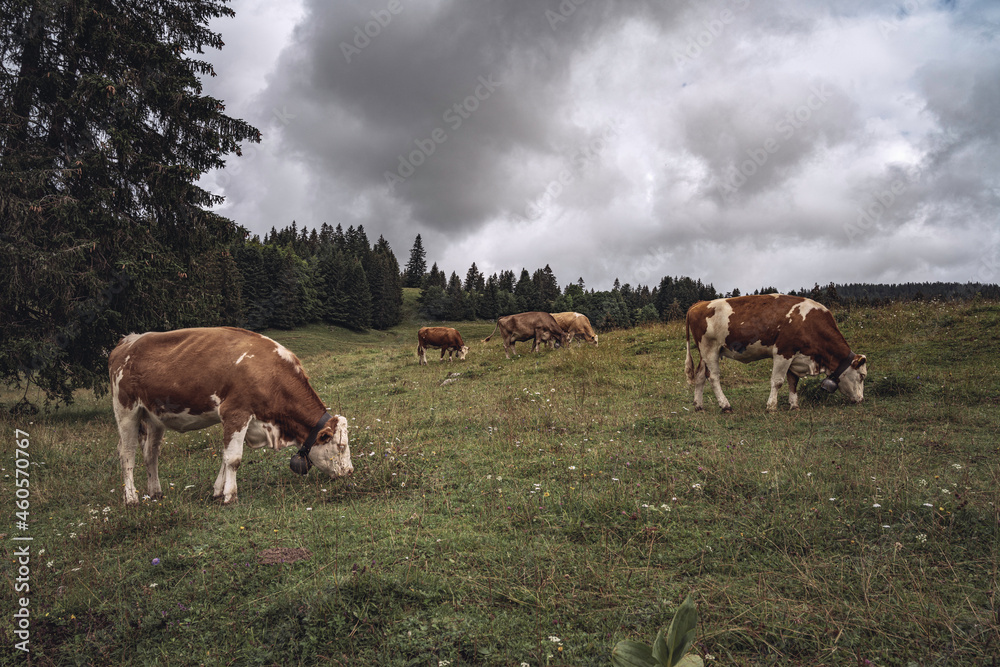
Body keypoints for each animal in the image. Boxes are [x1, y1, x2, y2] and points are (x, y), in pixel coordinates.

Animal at [108, 326, 352, 504]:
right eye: (340, 446)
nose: (349, 471)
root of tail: (128, 340)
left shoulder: (245, 420)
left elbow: (225, 458)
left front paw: (218, 490)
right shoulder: (235, 412)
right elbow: (233, 459)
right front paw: (229, 495)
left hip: (153, 417)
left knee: (151, 453)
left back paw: (156, 492)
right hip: (126, 409)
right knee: (127, 452)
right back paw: (131, 498)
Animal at [688, 296, 868, 412]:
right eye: (862, 376)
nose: (861, 399)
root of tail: (700, 304)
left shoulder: (795, 356)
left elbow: (793, 381)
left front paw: (794, 405)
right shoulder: (783, 352)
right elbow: (778, 381)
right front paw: (771, 407)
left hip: (706, 352)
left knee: (700, 375)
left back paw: (698, 405)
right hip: (709, 349)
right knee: (713, 377)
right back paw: (725, 405)